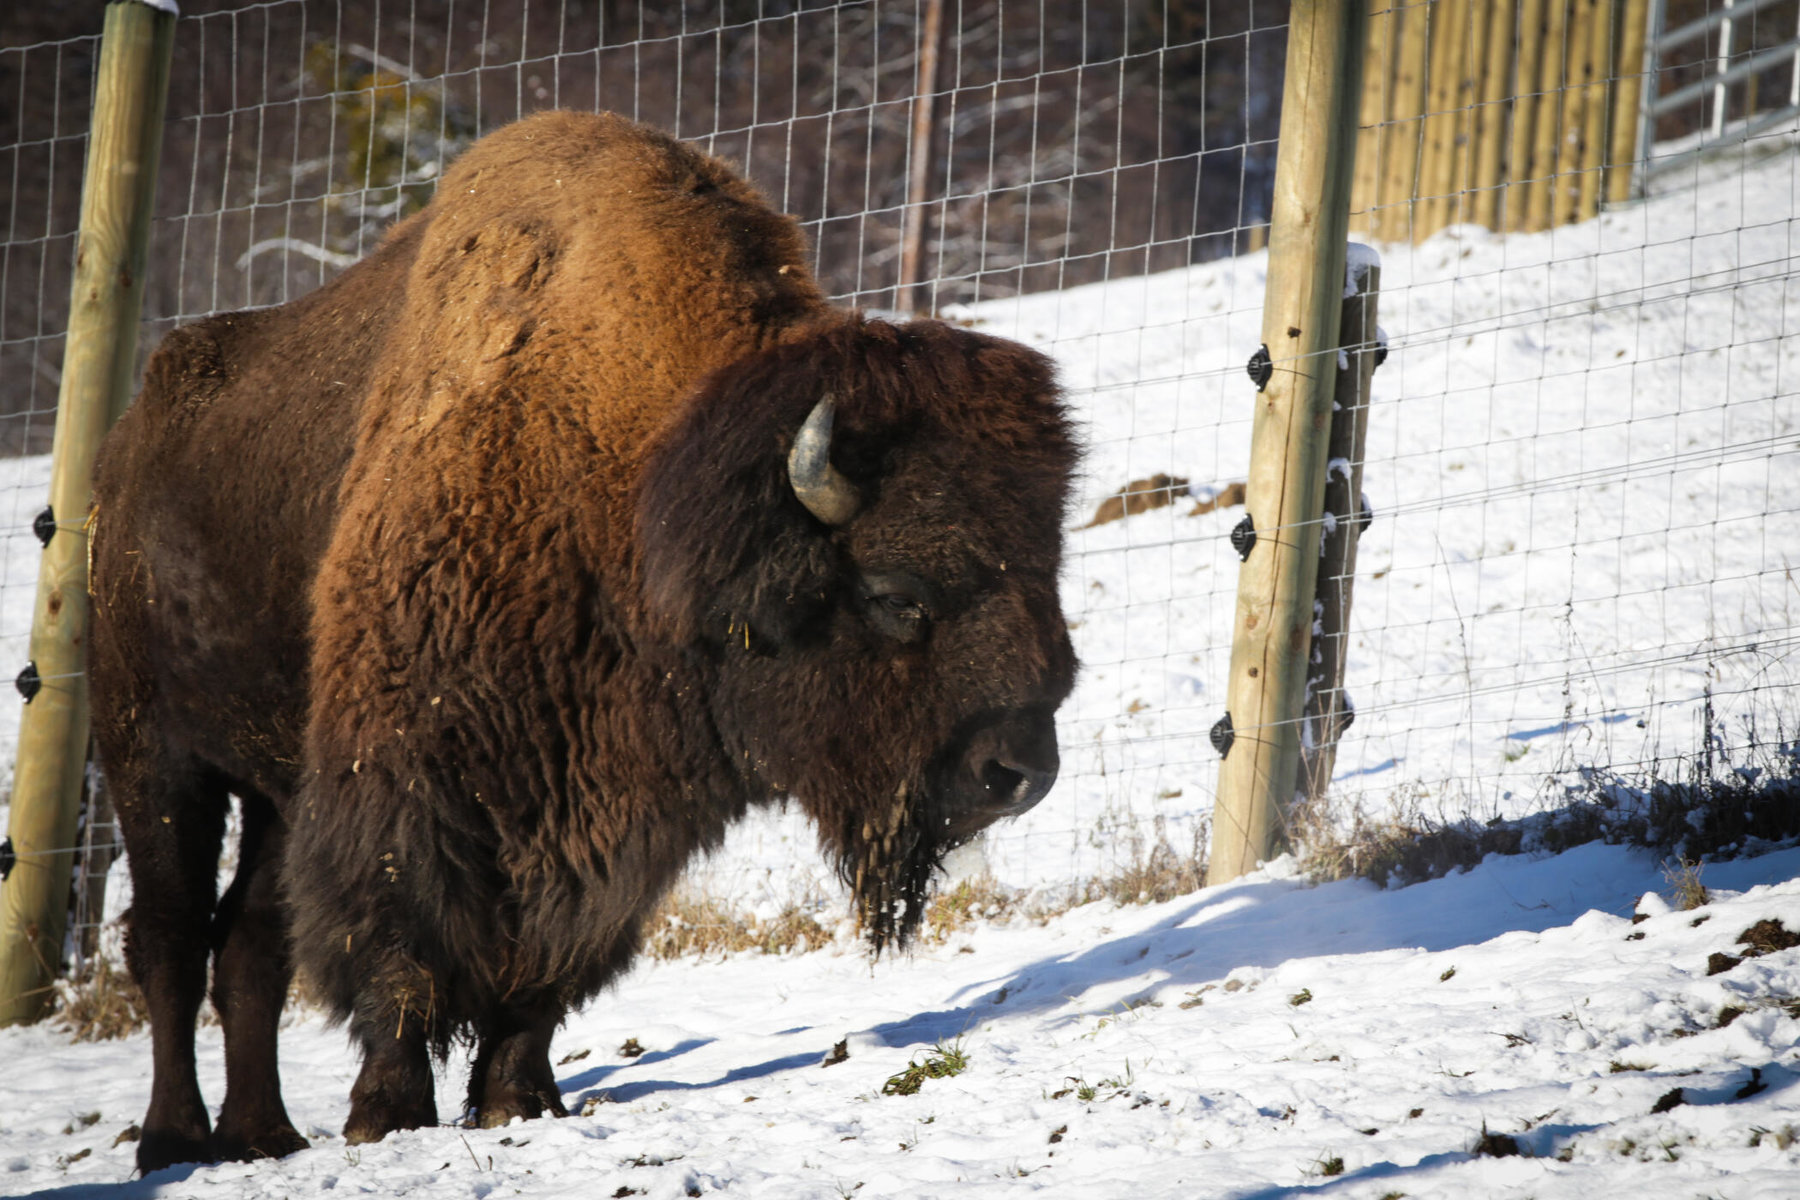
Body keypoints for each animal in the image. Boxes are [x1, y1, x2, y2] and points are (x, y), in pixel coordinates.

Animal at [87, 105, 1065, 1173]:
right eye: (897, 594)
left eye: (1045, 571)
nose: (1020, 775)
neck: (635, 487)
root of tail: (125, 448)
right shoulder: (400, 781)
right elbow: (400, 945)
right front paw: (387, 1113)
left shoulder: (606, 818)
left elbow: (544, 970)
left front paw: (519, 1103)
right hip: (153, 755)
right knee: (172, 941)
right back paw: (173, 1140)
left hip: (271, 784)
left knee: (249, 946)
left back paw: (264, 1136)